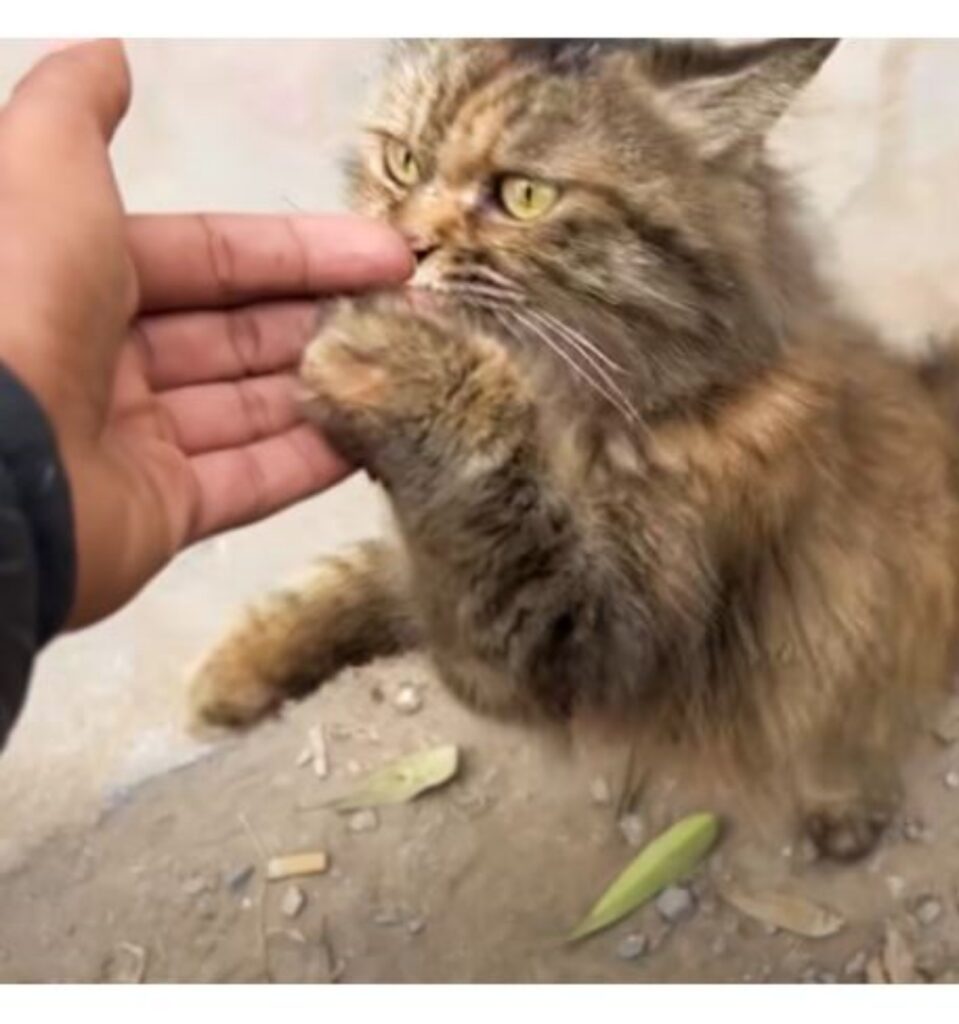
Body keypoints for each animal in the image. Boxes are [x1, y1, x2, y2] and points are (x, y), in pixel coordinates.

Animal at [187, 36, 957, 860]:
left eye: (524, 196)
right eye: (402, 162)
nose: (404, 248)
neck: (556, 419)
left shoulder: (597, 639)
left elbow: (486, 526)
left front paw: (410, 362)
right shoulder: (434, 574)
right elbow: (360, 575)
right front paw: (240, 668)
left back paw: (840, 807)